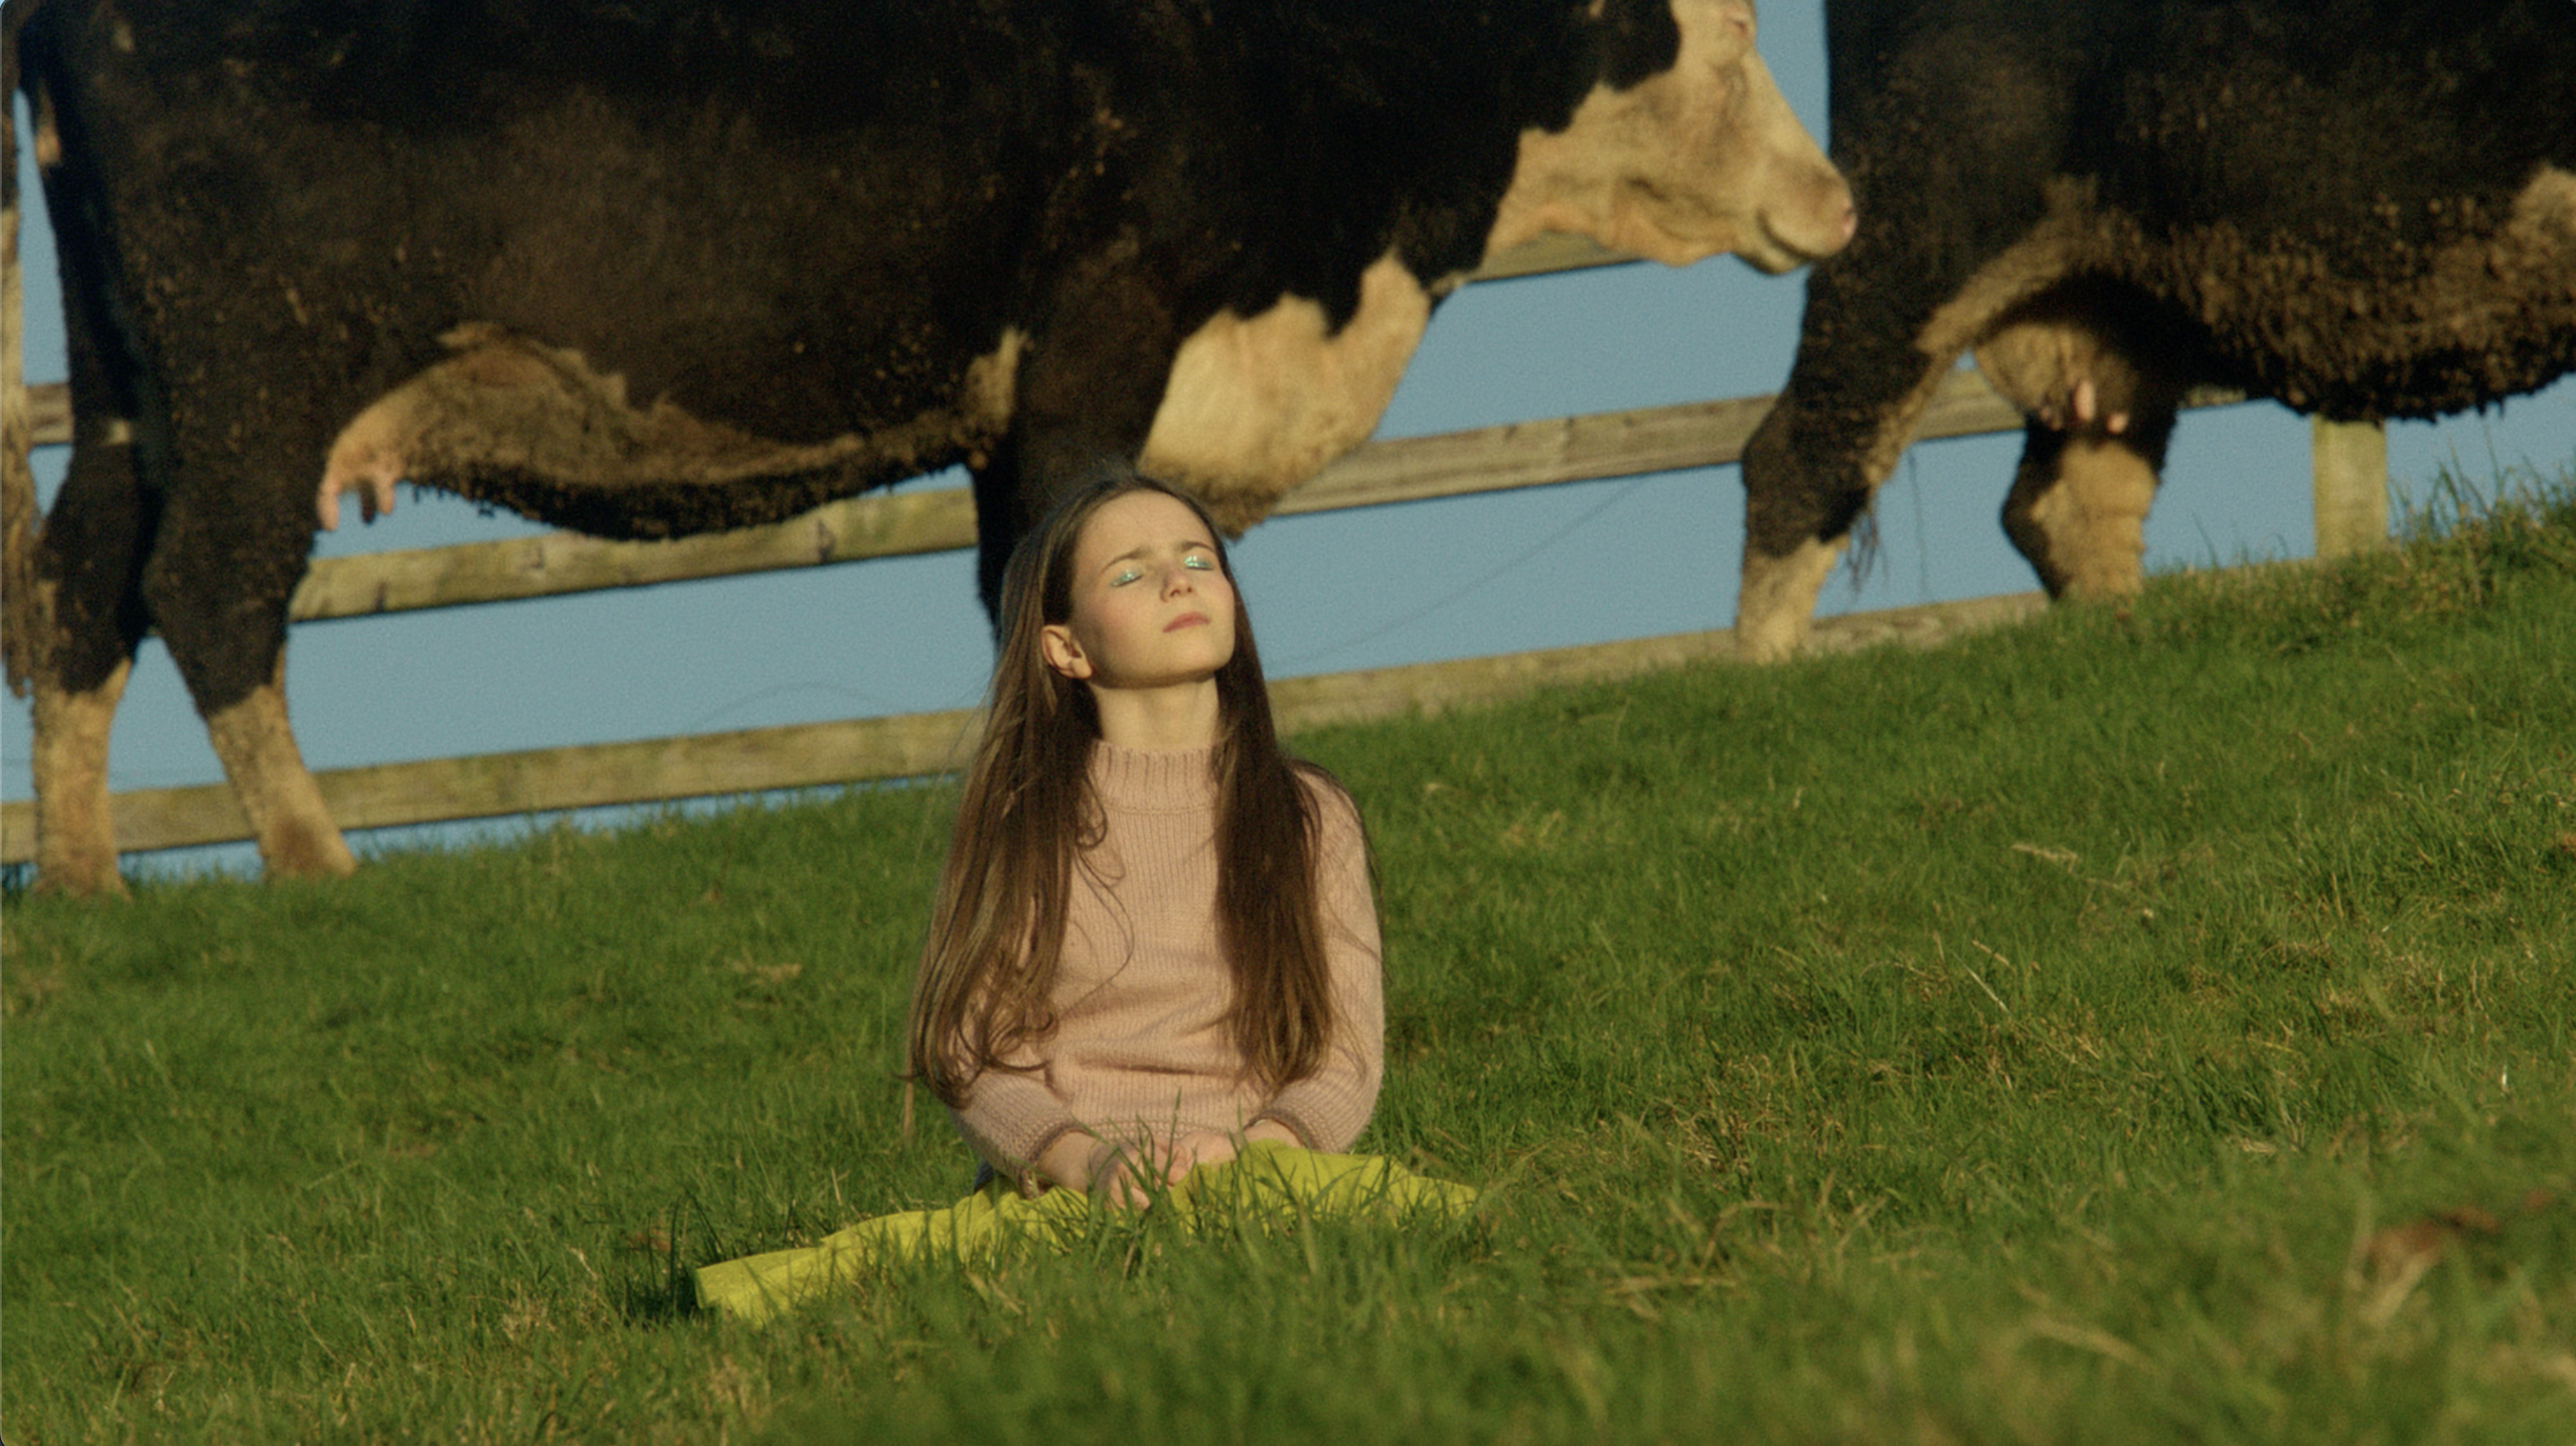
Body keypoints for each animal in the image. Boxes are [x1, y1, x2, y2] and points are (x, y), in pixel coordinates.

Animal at [3, 0, 1853, 896]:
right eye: (1738, 29)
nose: (1836, 196)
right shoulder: (1105, 327)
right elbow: (1058, 549)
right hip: (261, 375)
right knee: (210, 588)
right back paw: (313, 860)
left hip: (128, 387)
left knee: (80, 589)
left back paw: (90, 883)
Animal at [1734, 0, 2575, 661]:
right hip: (1914, 223)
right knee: (1798, 455)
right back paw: (1769, 685)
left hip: (2108, 316)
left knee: (2060, 500)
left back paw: (2124, 641)